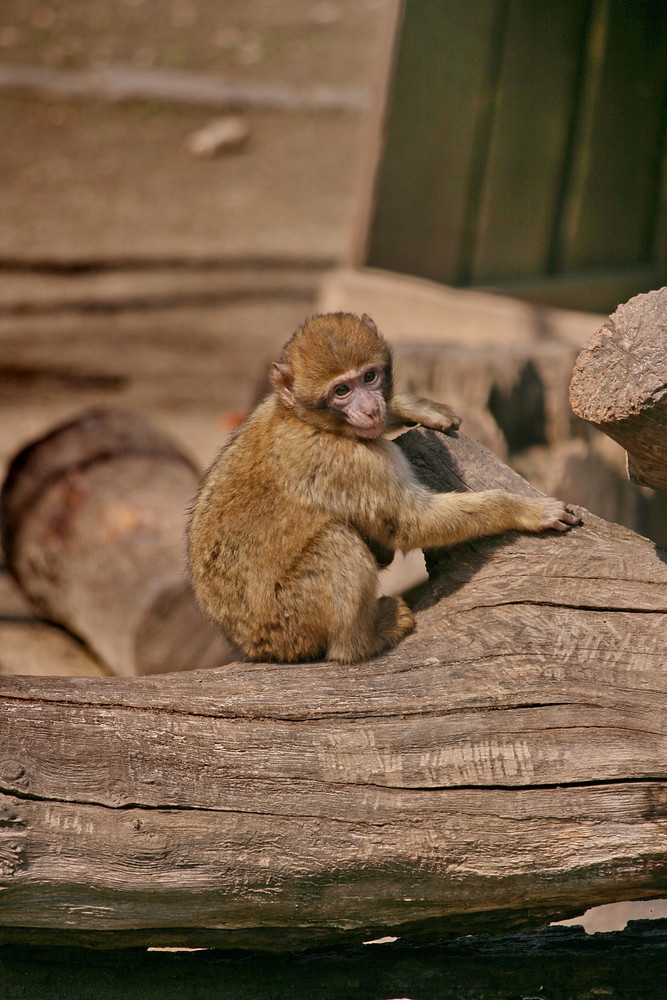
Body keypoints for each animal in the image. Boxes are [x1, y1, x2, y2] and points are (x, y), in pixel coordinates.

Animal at [188, 312, 580, 664]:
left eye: (369, 377)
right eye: (341, 391)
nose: (370, 408)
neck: (310, 422)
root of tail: (253, 648)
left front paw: (411, 407)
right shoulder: (352, 464)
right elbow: (409, 523)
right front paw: (523, 510)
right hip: (290, 622)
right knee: (336, 543)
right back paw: (360, 643)